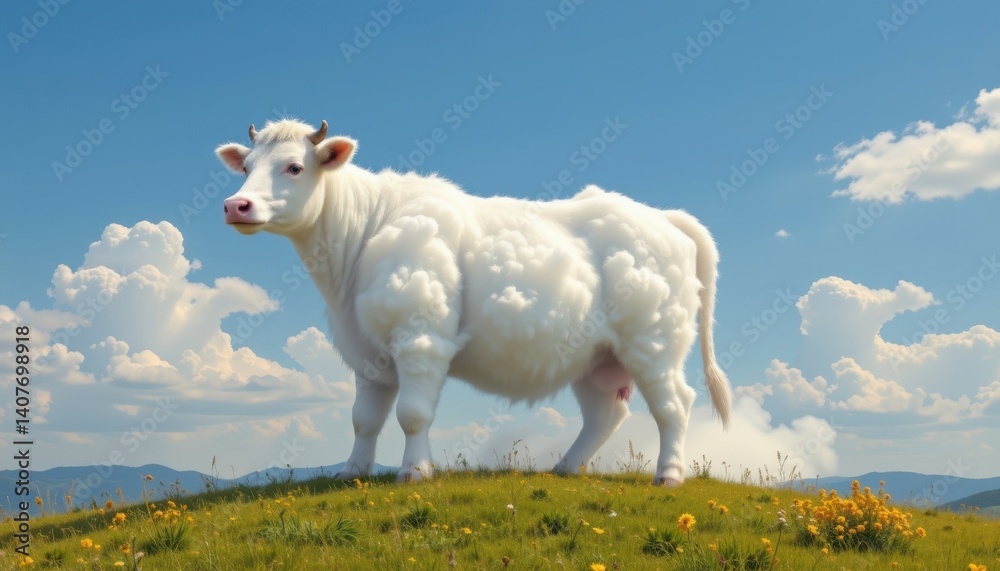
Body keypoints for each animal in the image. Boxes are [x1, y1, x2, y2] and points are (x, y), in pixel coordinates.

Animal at [215, 119, 732, 485]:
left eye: (294, 166)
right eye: (246, 168)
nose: (235, 205)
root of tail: (662, 216)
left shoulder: (420, 337)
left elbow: (412, 414)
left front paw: (415, 472)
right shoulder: (366, 352)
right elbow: (364, 420)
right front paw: (351, 473)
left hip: (654, 342)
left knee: (674, 404)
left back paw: (669, 476)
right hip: (598, 358)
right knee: (606, 413)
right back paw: (565, 469)